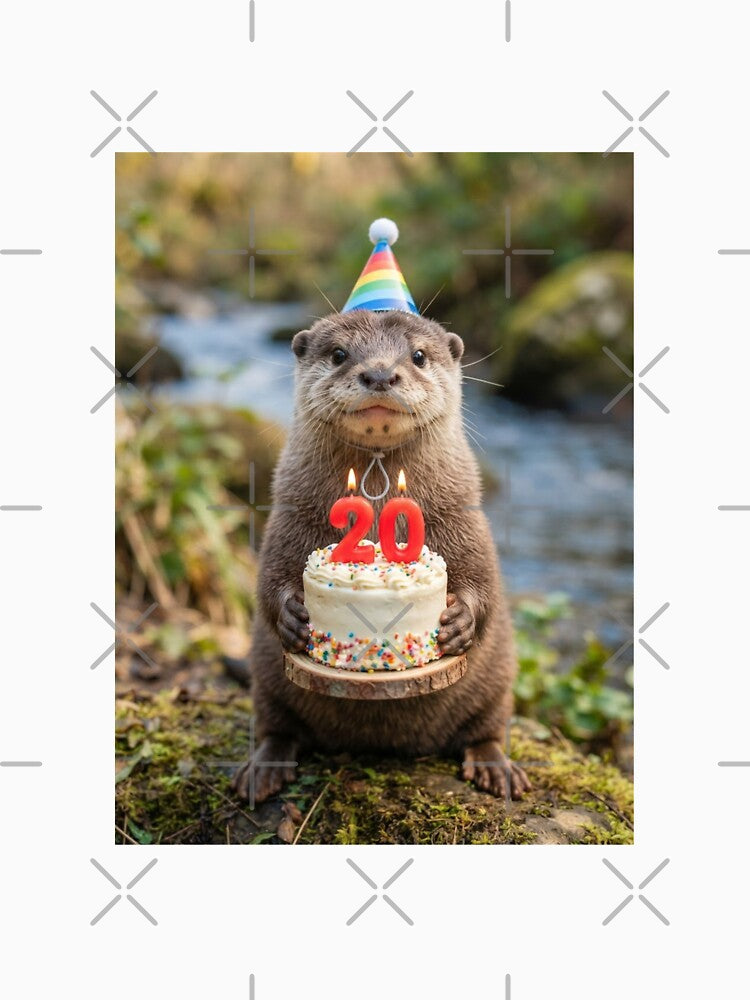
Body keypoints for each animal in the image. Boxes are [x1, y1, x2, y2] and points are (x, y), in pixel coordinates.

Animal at [232, 309, 530, 802]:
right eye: (339, 354)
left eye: (419, 356)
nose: (379, 375)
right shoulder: (288, 511)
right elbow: (269, 577)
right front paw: (292, 616)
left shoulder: (465, 511)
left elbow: (482, 578)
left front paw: (459, 621)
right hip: (267, 675)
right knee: (276, 724)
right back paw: (263, 769)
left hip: (499, 675)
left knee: (486, 726)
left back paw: (496, 767)